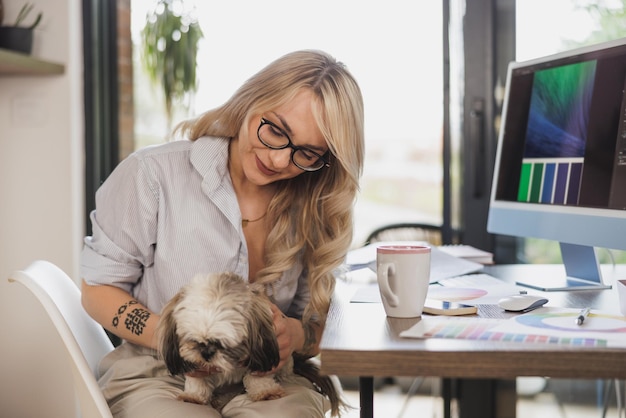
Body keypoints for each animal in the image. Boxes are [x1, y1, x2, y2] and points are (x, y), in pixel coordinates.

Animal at [155, 272, 342, 414]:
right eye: (192, 339)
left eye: (224, 343)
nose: (206, 352)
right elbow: (197, 379)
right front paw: (193, 396)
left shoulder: (261, 354)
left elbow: (257, 376)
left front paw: (265, 392)